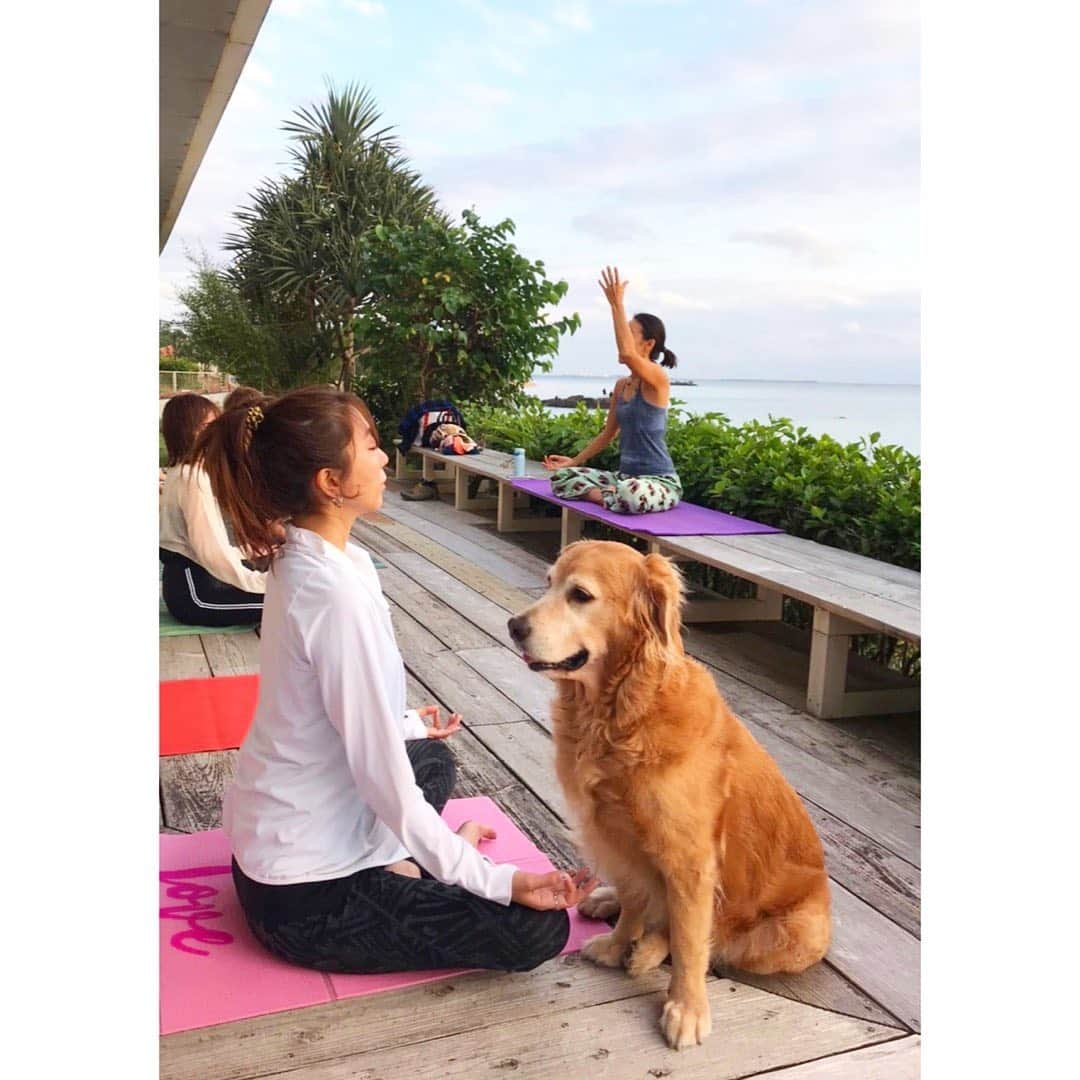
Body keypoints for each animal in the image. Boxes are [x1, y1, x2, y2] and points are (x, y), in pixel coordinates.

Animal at [505, 544, 825, 1049]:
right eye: (548, 582)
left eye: (580, 595)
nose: (514, 625)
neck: (620, 714)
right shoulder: (613, 833)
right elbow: (635, 898)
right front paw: (617, 944)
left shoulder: (689, 859)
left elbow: (692, 942)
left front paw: (686, 1009)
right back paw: (609, 905)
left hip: (799, 930)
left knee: (713, 935)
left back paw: (652, 949)